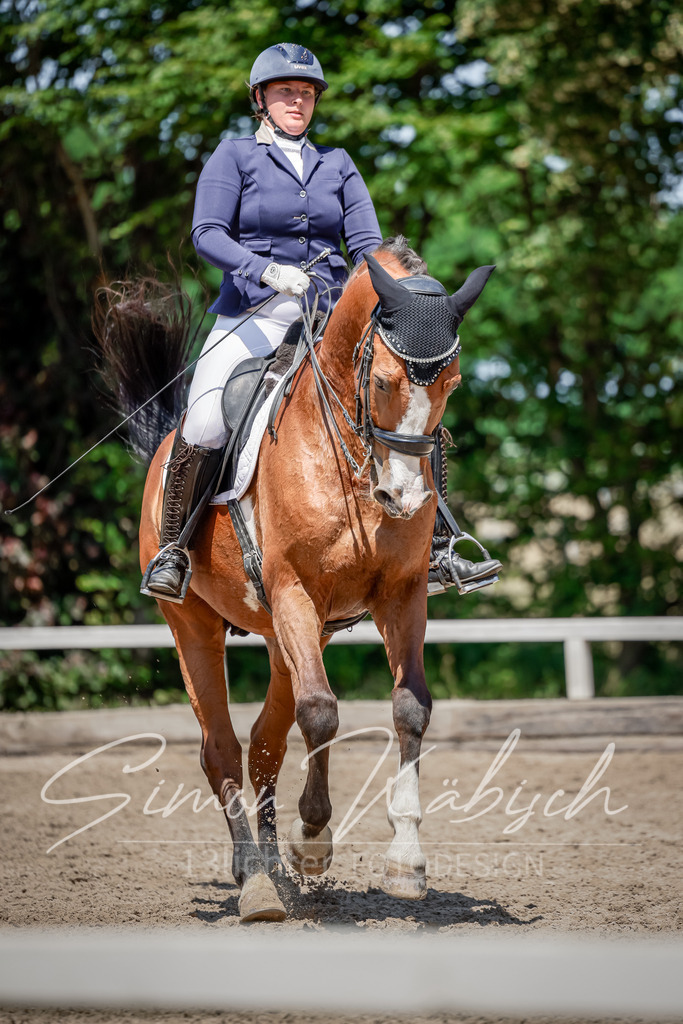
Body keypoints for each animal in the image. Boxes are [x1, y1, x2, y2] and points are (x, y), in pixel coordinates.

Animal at [95, 237, 494, 922]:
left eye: (453, 384)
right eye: (382, 381)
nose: (405, 499)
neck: (353, 462)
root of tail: (164, 447)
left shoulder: (401, 595)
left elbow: (408, 708)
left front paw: (405, 863)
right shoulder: (293, 593)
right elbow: (322, 712)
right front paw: (314, 840)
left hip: (288, 635)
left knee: (263, 743)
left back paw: (268, 868)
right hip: (194, 626)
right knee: (223, 747)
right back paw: (257, 886)